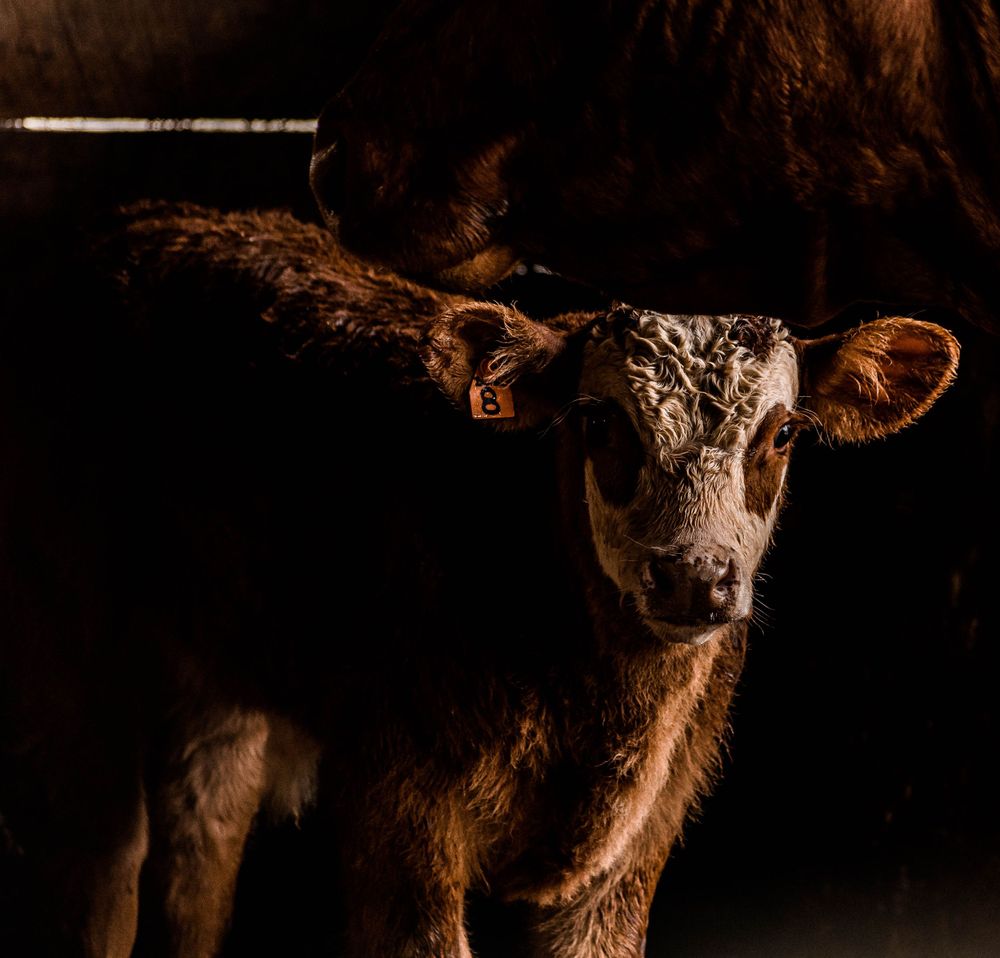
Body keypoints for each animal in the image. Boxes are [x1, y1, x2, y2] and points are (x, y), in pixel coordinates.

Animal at [0, 202, 958, 957]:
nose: (694, 576)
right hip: (65, 644)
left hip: (224, 668)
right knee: (101, 860)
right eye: (600, 422)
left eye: (784, 432)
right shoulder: (398, 806)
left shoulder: (639, 839)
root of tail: (145, 220)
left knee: (201, 843)